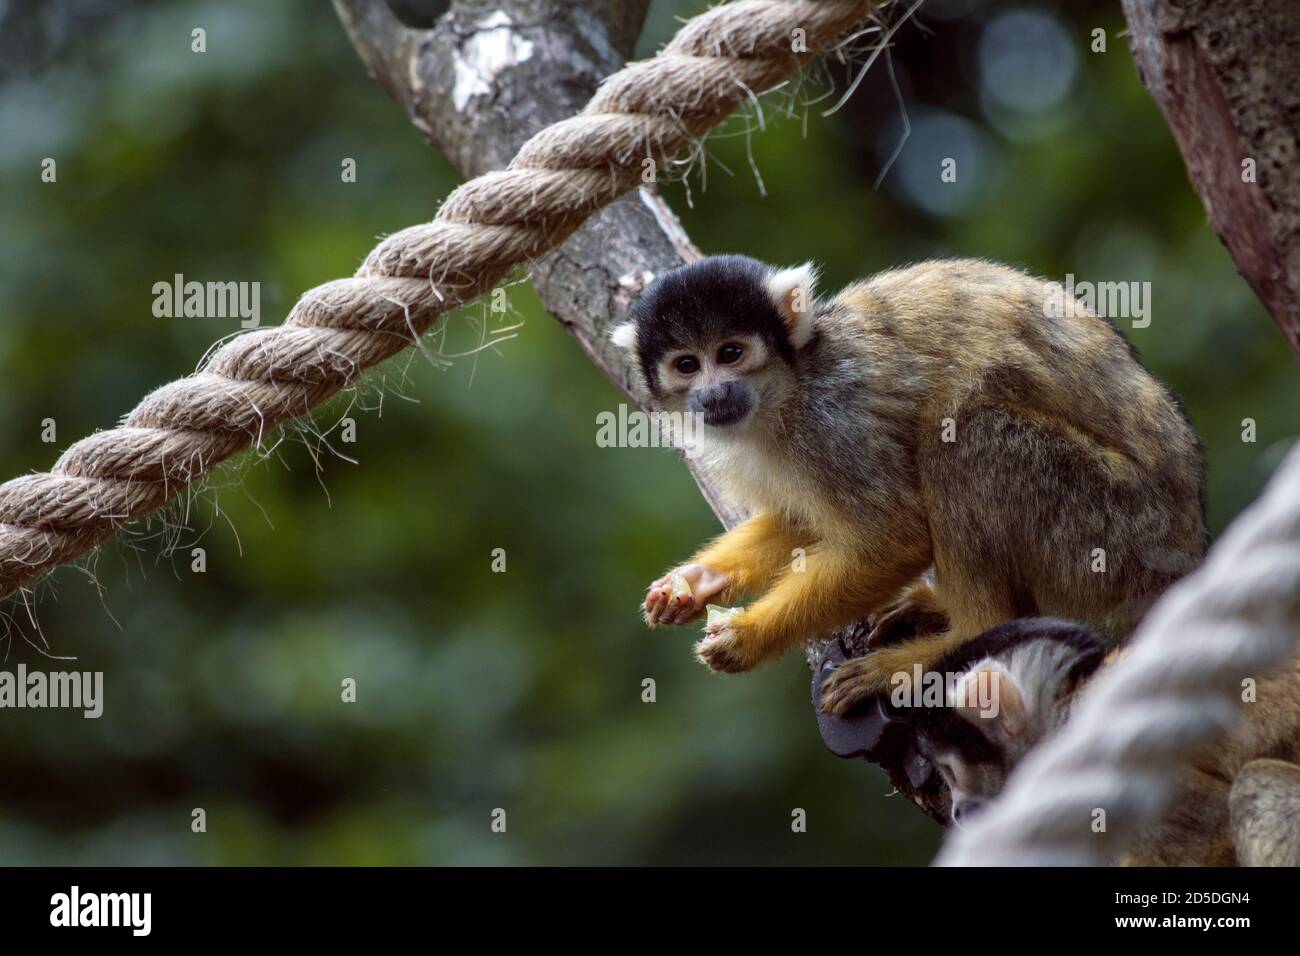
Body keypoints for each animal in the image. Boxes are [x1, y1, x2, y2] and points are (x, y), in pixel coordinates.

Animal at [611, 255, 1205, 713]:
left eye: (731, 353)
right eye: (687, 365)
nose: (714, 394)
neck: (787, 390)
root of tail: (1187, 551)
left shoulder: (833, 420)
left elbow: (896, 535)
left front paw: (751, 637)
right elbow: (799, 520)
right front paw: (694, 583)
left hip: (1111, 530)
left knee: (965, 434)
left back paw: (961, 634)